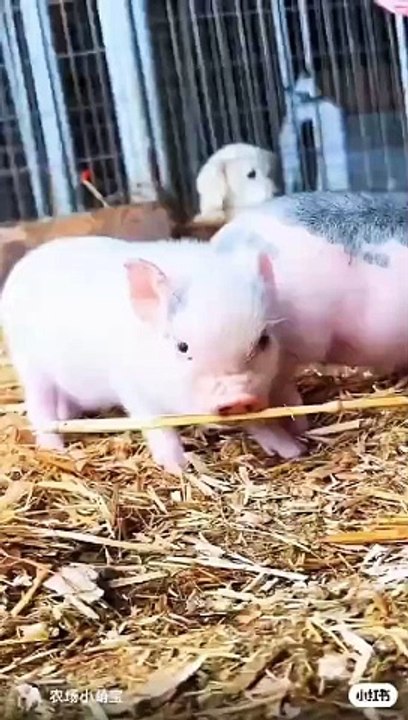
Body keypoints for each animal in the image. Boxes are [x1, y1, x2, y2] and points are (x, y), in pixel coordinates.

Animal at [0, 235, 304, 476]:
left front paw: (293, 450)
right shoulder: (131, 386)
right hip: (29, 364)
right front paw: (179, 468)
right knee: (38, 407)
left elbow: (260, 421)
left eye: (263, 339)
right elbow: (157, 425)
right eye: (182, 347)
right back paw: (56, 449)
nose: (239, 398)